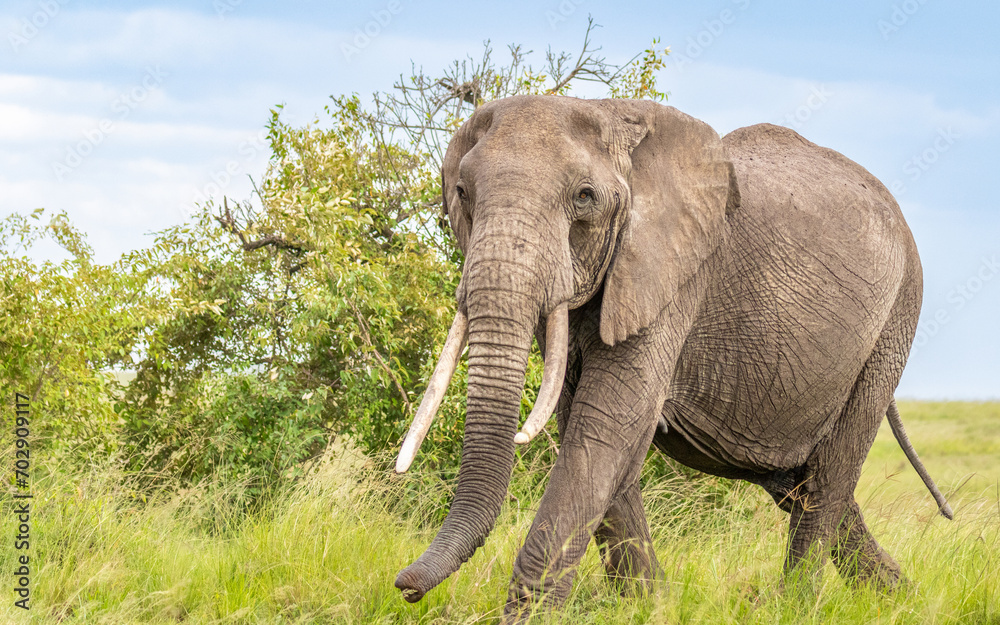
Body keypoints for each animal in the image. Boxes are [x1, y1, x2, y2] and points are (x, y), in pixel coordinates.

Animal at [390, 95, 952, 620]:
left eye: (584, 197)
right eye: (462, 194)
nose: (405, 586)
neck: (609, 115)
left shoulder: (675, 278)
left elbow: (605, 427)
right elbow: (592, 434)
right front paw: (653, 605)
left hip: (894, 320)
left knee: (830, 477)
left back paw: (797, 606)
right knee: (797, 483)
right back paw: (905, 598)